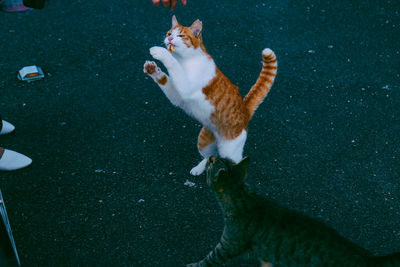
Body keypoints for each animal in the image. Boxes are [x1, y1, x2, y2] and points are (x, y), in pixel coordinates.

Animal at [144, 15, 278, 177]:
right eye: (169, 33)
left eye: (181, 36)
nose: (169, 39)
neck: (185, 61)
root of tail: (245, 110)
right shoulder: (178, 96)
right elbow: (165, 80)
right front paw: (153, 70)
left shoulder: (185, 86)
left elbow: (173, 64)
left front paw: (160, 52)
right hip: (203, 141)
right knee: (210, 155)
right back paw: (201, 168)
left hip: (230, 149)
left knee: (232, 161)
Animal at [187, 158, 400, 266]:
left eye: (212, 163)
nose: (211, 157)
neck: (242, 197)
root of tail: (370, 259)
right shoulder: (266, 255)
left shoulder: (228, 245)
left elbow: (207, 260)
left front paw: (190, 265)